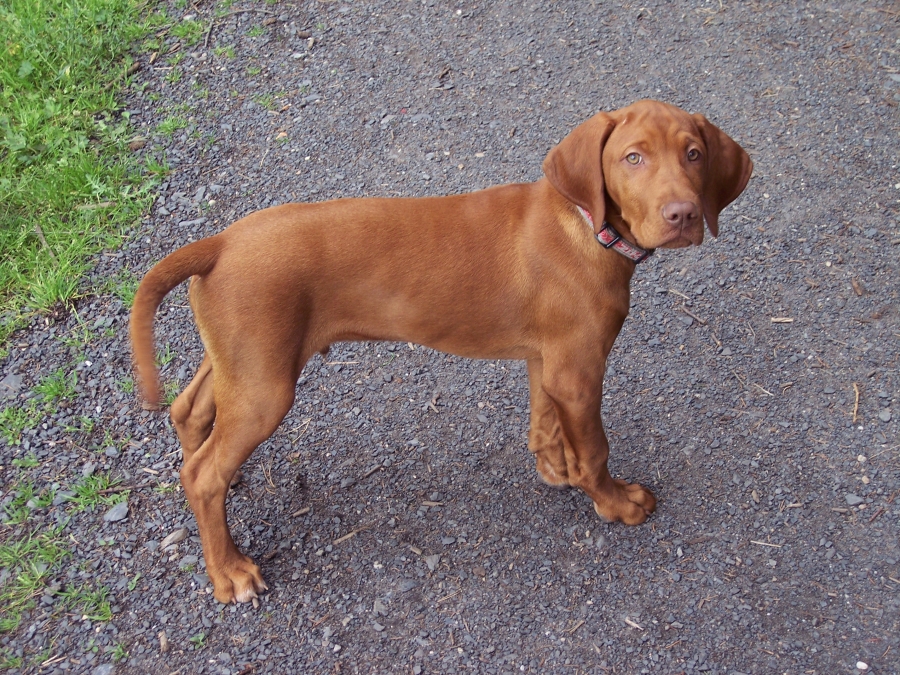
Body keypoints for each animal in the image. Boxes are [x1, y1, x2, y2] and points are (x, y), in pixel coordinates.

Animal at [130, 100, 752, 603]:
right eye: (632, 158)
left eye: (694, 154)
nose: (683, 216)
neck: (584, 224)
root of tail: (220, 242)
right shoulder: (579, 371)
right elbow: (596, 449)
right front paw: (614, 502)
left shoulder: (548, 360)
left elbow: (545, 422)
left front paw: (557, 469)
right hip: (266, 382)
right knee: (202, 473)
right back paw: (230, 570)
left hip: (243, 358)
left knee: (191, 412)